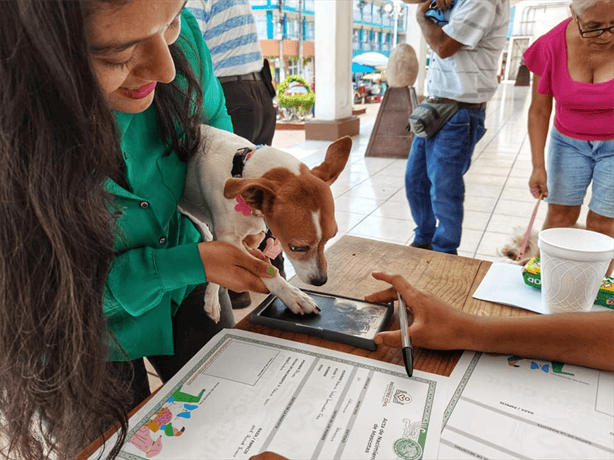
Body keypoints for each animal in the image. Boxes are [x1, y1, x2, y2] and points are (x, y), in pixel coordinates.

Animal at [179, 124, 352, 322]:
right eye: (297, 248)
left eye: (330, 238)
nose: (320, 281)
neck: (240, 172)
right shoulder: (229, 238)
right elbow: (266, 271)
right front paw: (293, 295)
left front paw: (212, 296)